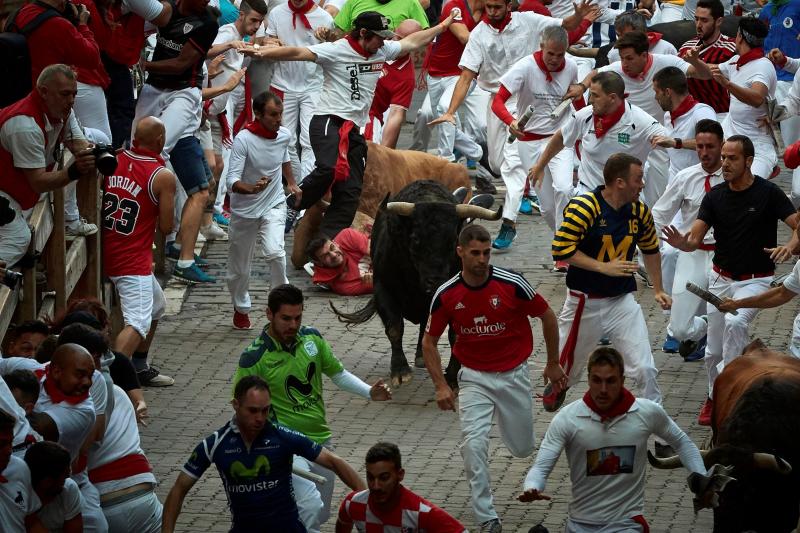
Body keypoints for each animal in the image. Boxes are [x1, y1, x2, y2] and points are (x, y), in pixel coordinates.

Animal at [332, 179, 500, 386]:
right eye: (415, 239)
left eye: (453, 240)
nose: (436, 282)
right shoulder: (383, 288)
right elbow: (395, 328)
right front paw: (400, 370)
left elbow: (454, 334)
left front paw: (451, 376)